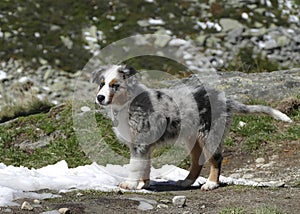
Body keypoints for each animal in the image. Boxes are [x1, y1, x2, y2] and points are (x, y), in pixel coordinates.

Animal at [93, 65, 290, 191]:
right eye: (101, 84)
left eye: (115, 85)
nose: (100, 98)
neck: (126, 103)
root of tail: (224, 99)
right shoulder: (143, 145)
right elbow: (145, 165)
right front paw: (143, 184)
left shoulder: (139, 143)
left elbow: (135, 165)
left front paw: (131, 184)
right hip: (192, 137)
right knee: (197, 161)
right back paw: (186, 182)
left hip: (209, 134)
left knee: (216, 159)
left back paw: (211, 184)